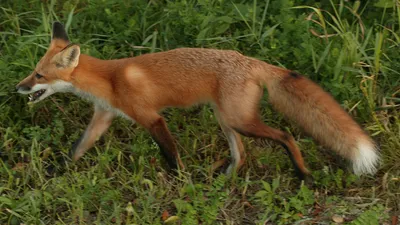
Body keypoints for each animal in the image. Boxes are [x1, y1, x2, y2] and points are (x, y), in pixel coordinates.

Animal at [16, 22, 378, 178]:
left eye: (38, 75)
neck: (109, 80)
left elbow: (171, 155)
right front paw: (52, 173)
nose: (17, 88)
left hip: (239, 121)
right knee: (241, 154)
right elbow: (75, 150)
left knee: (286, 135)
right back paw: (224, 178)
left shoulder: (151, 118)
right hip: (226, 120)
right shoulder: (102, 118)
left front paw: (180, 182)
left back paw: (302, 174)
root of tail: (251, 61)